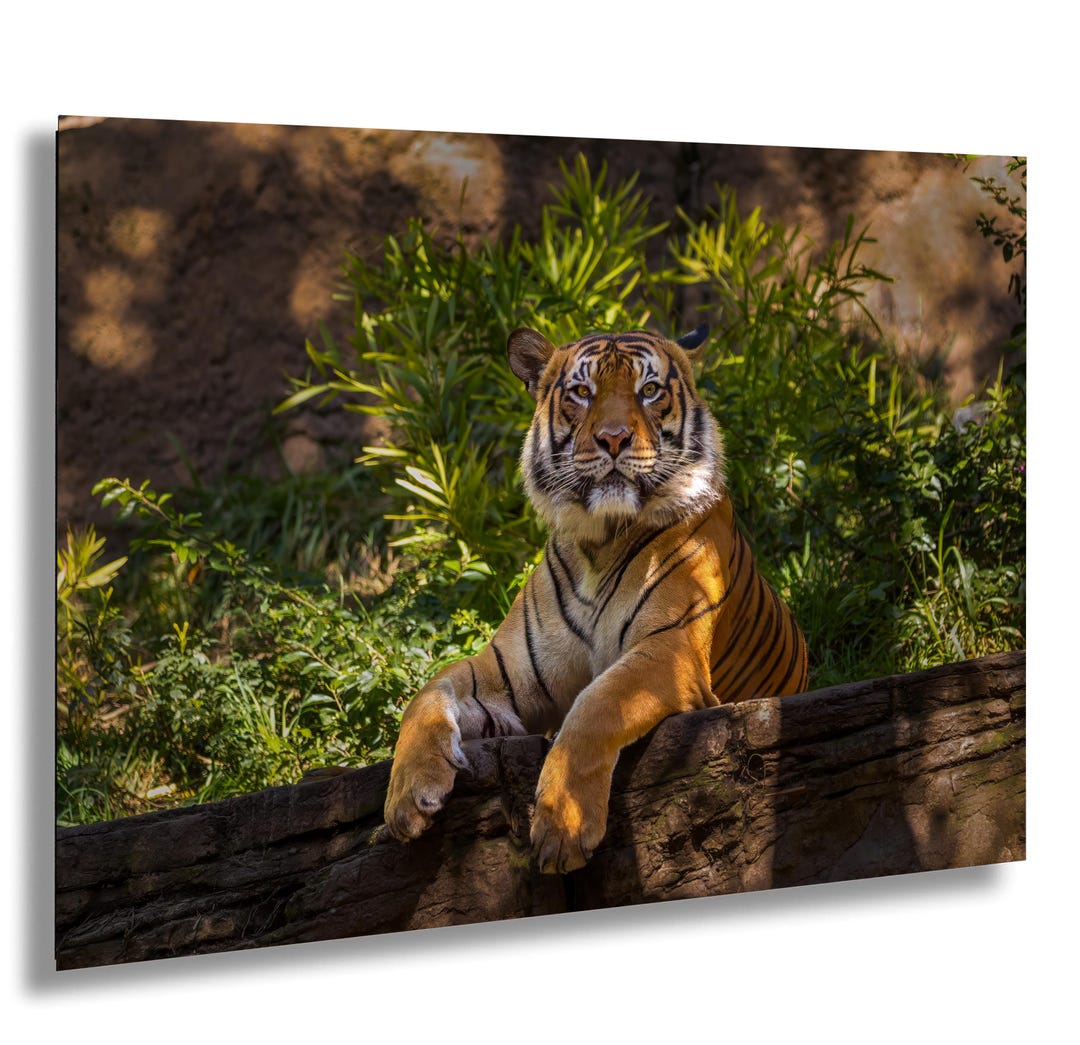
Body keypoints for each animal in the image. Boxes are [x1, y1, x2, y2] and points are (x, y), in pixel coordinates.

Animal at [383, 323, 808, 873]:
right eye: (582, 392)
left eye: (649, 390)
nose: (613, 438)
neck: (598, 543)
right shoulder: (506, 673)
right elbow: (429, 692)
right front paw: (407, 797)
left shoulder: (669, 649)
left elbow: (596, 703)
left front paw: (562, 827)